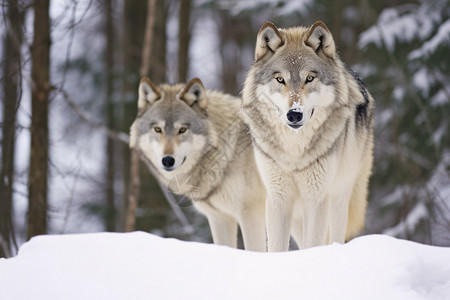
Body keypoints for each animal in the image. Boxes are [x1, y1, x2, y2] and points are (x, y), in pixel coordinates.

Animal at [129, 77, 268, 251]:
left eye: (182, 129)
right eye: (157, 129)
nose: (167, 160)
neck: (228, 150)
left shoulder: (251, 215)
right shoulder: (219, 218)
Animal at [241, 19, 374, 252]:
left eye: (309, 78)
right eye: (280, 79)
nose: (294, 114)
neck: (295, 150)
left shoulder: (317, 198)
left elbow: (314, 244)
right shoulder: (278, 198)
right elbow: (277, 247)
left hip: (339, 197)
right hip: (297, 215)